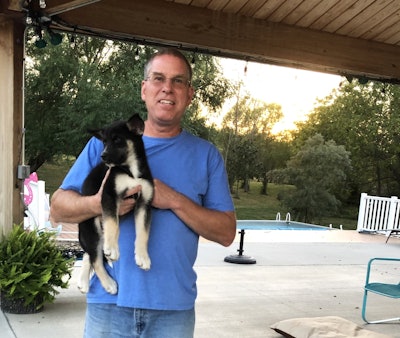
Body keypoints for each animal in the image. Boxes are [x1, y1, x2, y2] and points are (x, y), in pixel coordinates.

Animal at [77, 113, 154, 294]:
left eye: (117, 139)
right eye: (104, 142)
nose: (103, 156)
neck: (131, 171)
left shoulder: (144, 203)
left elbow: (143, 232)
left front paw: (143, 256)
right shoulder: (108, 195)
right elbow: (113, 223)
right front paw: (112, 248)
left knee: (90, 255)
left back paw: (84, 282)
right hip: (92, 229)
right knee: (96, 259)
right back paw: (109, 283)